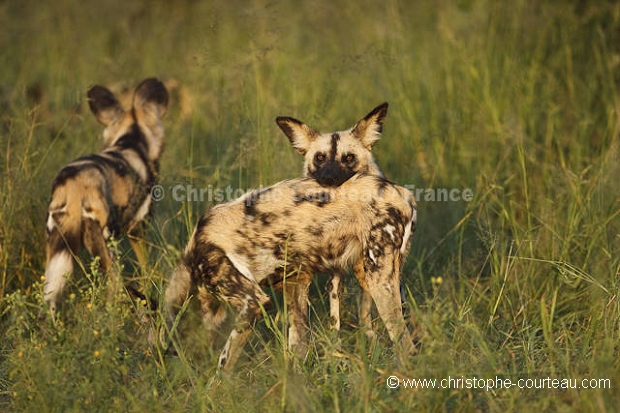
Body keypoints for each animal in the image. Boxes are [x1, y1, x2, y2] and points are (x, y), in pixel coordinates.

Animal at [42, 77, 170, 322]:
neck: (131, 141)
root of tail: (76, 183)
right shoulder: (138, 228)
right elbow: (146, 269)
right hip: (104, 244)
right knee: (113, 284)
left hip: (56, 238)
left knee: (50, 293)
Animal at [163, 173, 416, 370]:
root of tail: (402, 193)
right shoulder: (295, 286)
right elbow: (297, 351)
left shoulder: (253, 302)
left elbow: (223, 363)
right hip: (374, 276)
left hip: (379, 282)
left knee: (405, 344)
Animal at [276, 102, 388, 334]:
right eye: (320, 157)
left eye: (348, 158)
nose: (328, 178)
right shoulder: (334, 268)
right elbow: (334, 313)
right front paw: (334, 338)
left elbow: (367, 307)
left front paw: (370, 335)